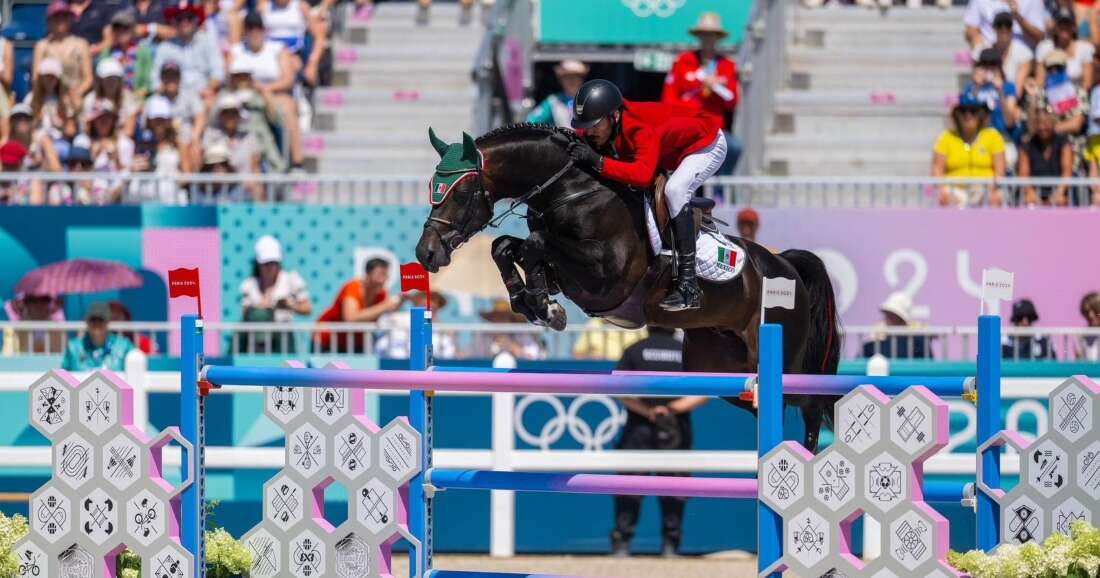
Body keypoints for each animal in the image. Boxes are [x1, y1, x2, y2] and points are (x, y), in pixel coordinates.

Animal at [415, 122, 836, 451]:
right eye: (432, 187)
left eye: (461, 192)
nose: (426, 253)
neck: (572, 190)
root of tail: (785, 264)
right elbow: (505, 246)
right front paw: (534, 304)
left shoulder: (606, 278)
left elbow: (535, 244)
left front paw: (543, 305)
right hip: (720, 367)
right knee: (768, 404)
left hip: (783, 359)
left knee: (813, 400)